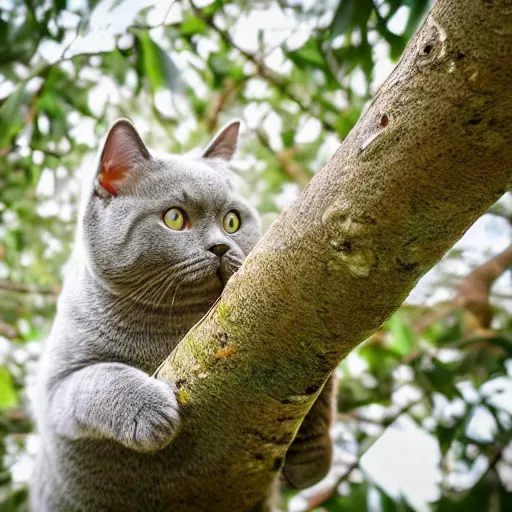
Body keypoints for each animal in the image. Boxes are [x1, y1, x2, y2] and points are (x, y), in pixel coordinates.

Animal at [30, 118, 334, 510]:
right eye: (174, 218)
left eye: (232, 221)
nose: (220, 246)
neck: (177, 328)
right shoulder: (54, 390)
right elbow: (100, 377)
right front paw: (150, 412)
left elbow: (322, 385)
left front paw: (312, 458)